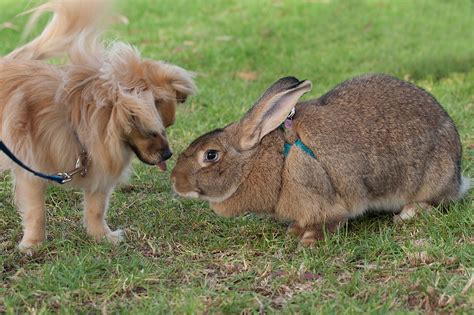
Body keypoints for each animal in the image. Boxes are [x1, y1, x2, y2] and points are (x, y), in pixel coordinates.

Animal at [0, 0, 196, 253]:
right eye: (151, 131)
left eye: (167, 128)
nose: (168, 154)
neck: (77, 121)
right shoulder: (30, 170)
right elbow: (37, 212)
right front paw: (33, 244)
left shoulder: (99, 168)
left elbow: (96, 208)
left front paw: (101, 237)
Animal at [170, 74, 470, 247]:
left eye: (210, 155)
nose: (174, 182)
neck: (275, 159)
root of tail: (457, 175)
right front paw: (294, 231)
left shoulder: (321, 198)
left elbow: (330, 222)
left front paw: (308, 241)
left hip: (431, 179)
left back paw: (409, 212)